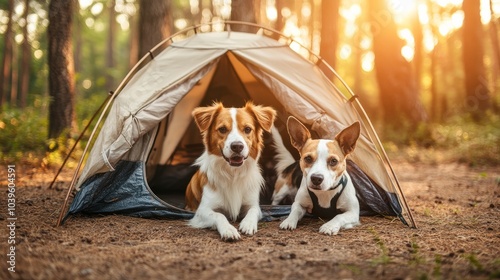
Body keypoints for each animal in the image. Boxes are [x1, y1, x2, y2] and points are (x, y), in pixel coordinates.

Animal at [186, 101, 278, 240]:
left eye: (247, 129)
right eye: (222, 129)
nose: (237, 146)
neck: (233, 172)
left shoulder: (253, 204)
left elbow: (252, 212)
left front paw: (247, 224)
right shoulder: (202, 210)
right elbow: (219, 215)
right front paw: (228, 230)